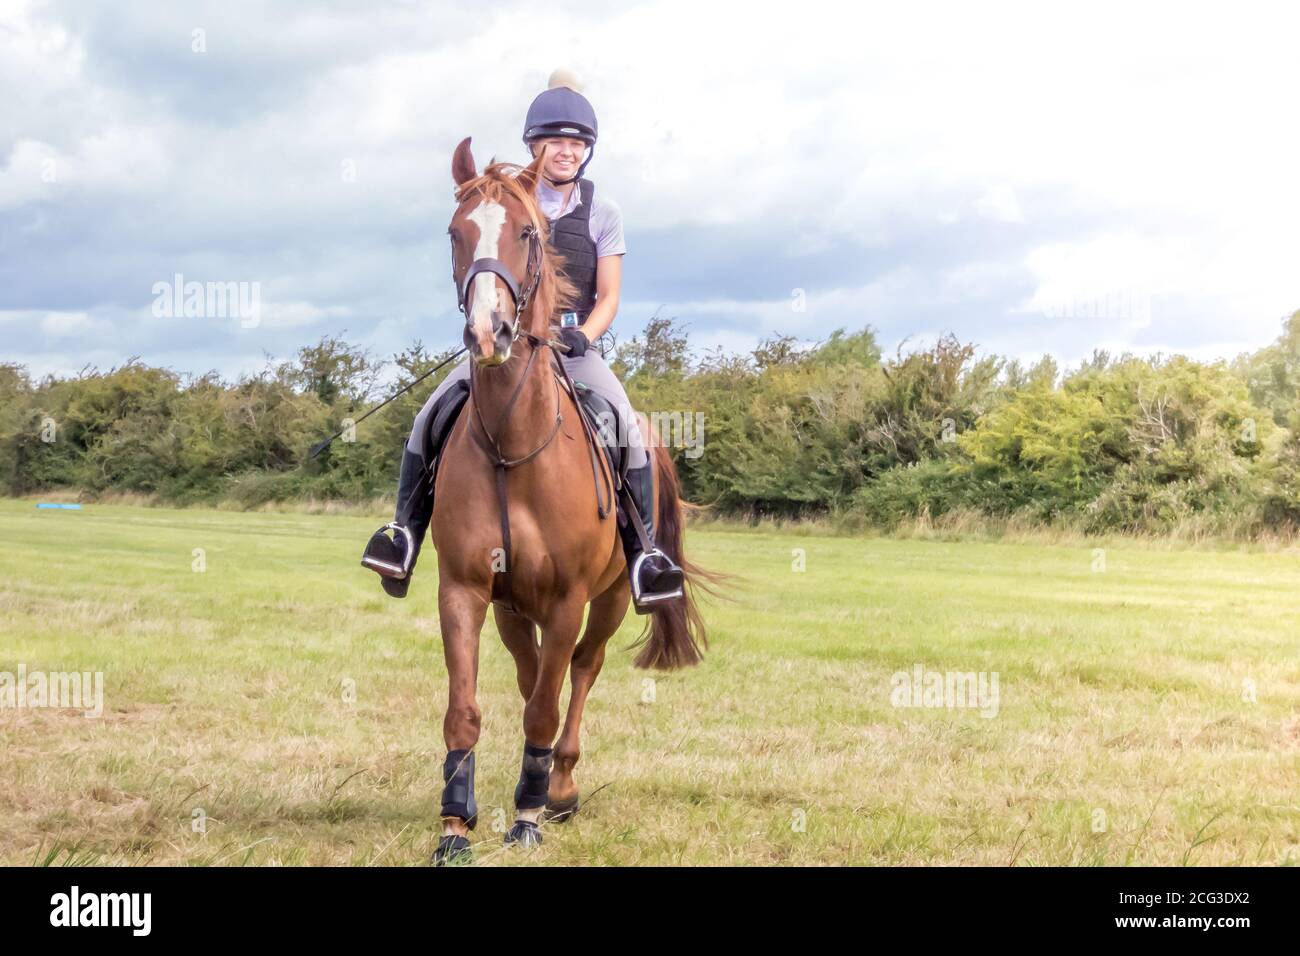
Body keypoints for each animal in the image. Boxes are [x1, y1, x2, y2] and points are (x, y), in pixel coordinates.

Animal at [429, 137, 711, 864]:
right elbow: (468, 707)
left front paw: (528, 815)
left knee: (581, 672)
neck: (513, 445)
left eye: (528, 234)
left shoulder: (567, 601)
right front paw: (455, 823)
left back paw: (559, 788)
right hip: (512, 608)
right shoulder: (466, 590)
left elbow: (547, 704)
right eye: (456, 233)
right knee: (535, 673)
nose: (490, 334)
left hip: (608, 600)